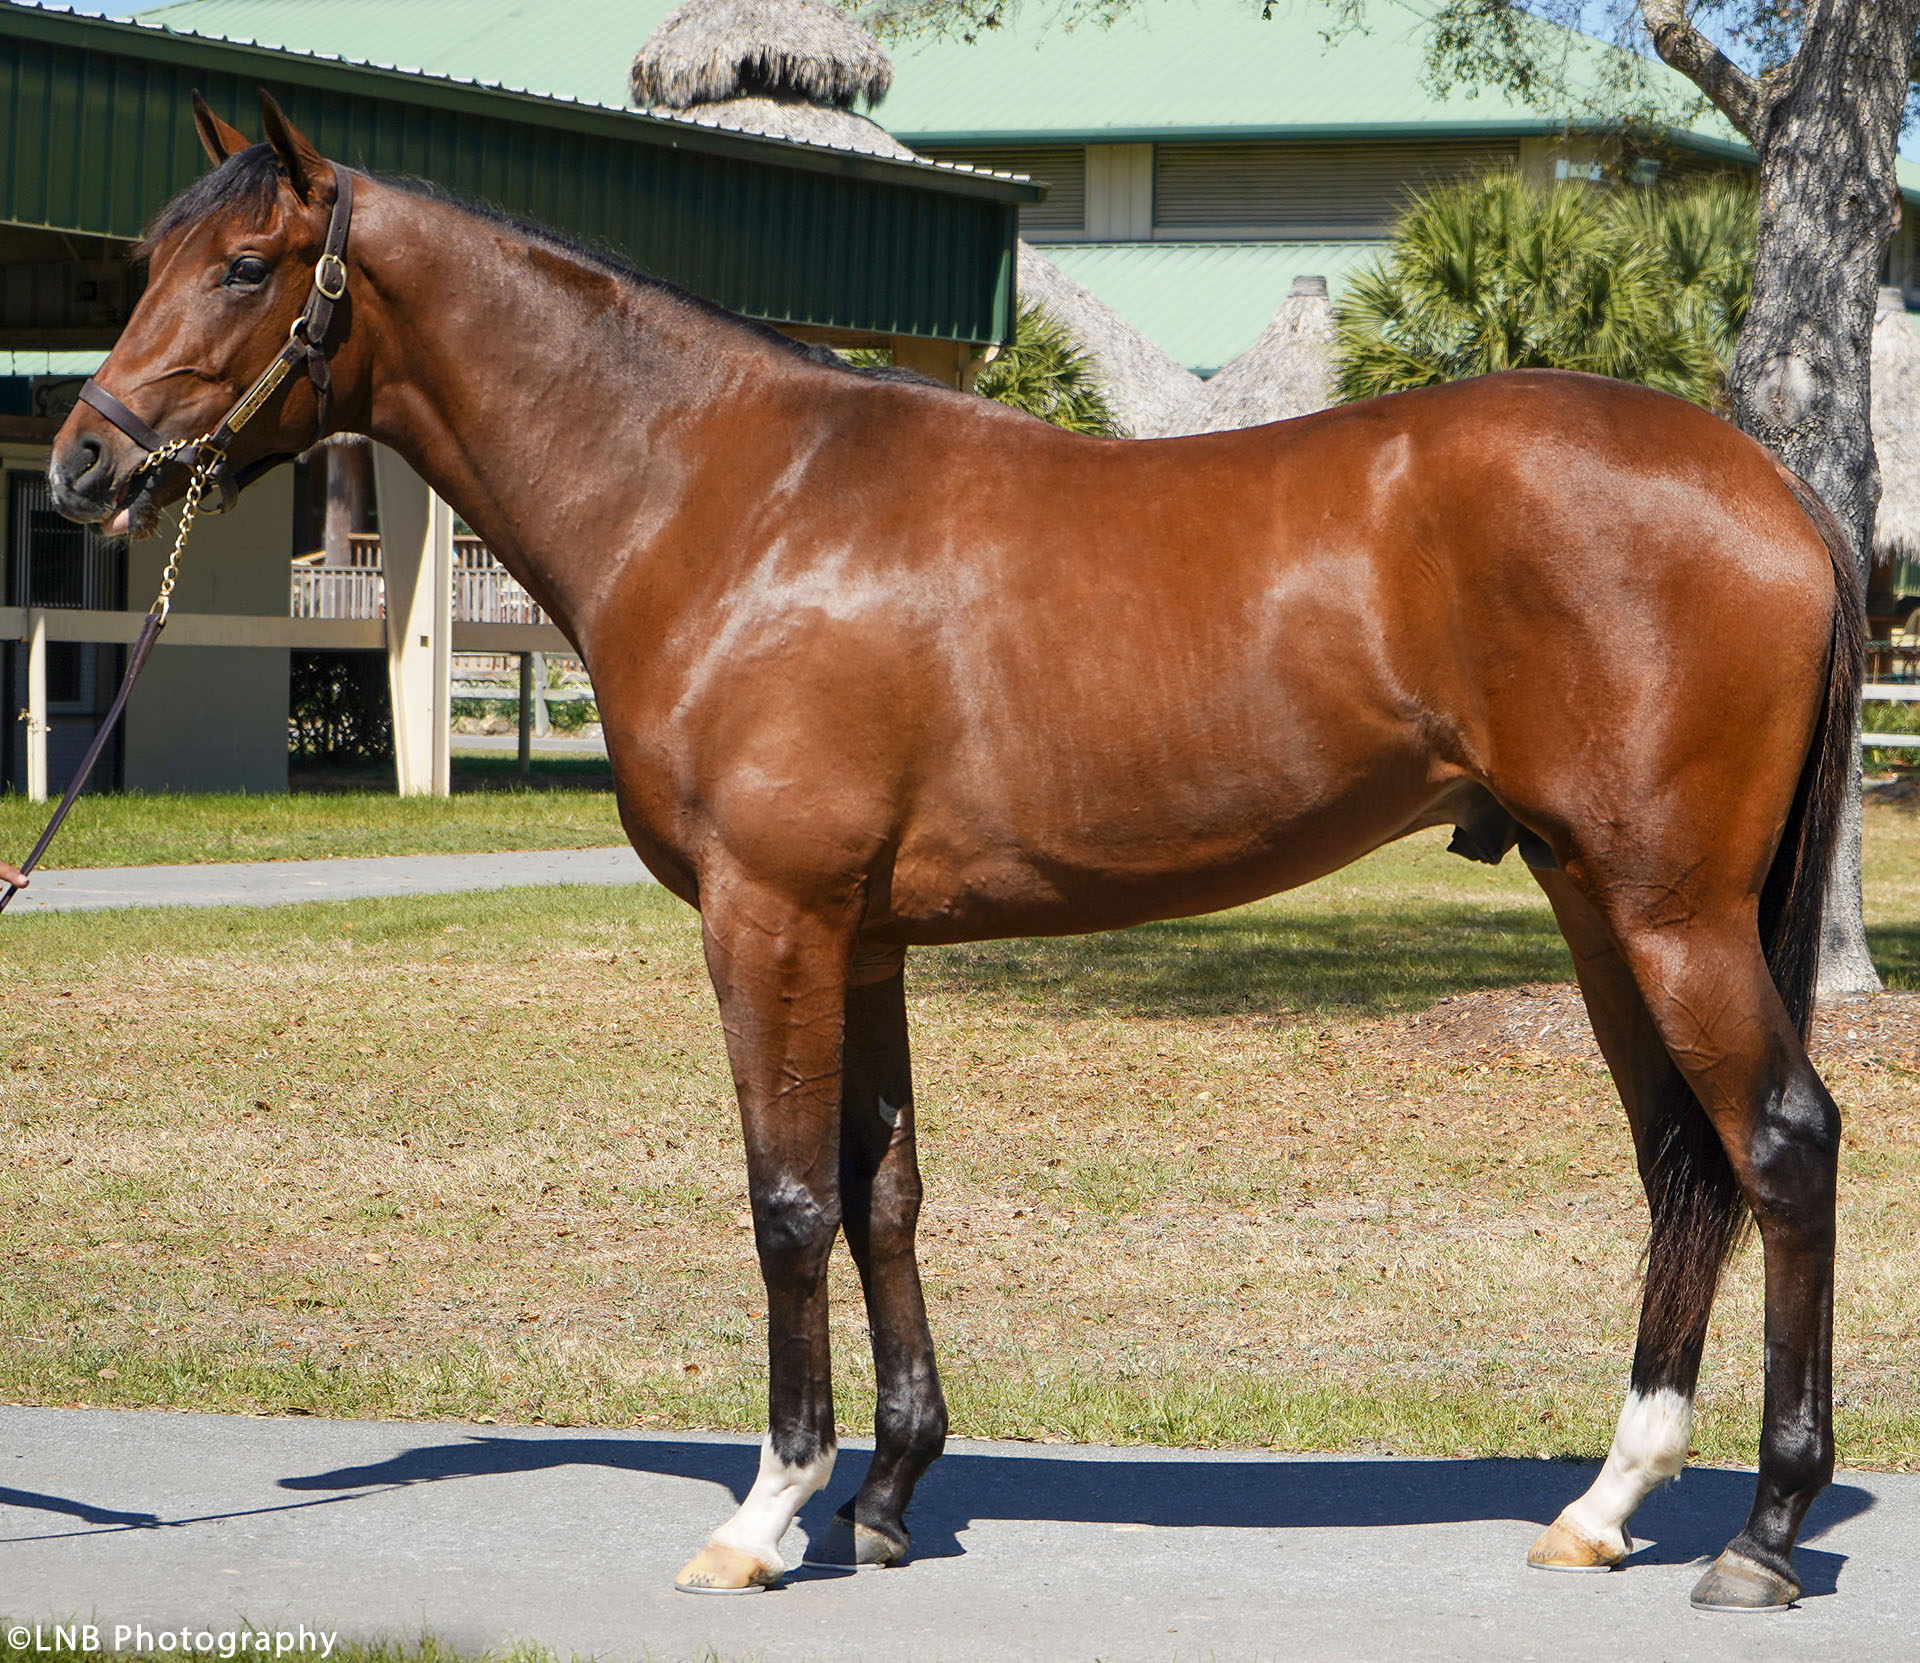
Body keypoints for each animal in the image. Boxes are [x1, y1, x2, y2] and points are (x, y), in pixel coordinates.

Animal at [52, 96, 1858, 1613]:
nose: (83, 461)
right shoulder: (861, 937)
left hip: (1672, 907)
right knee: (1681, 1164)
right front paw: (887, 1494)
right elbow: (884, 1190)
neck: (726, 496)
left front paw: (768, 1513)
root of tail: (1776, 489)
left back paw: (1762, 1534)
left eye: (243, 266)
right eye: (146, 259)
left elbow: (786, 1198)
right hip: (1594, 894)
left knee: (1780, 1141)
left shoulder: (767, 919)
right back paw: (1605, 1503)